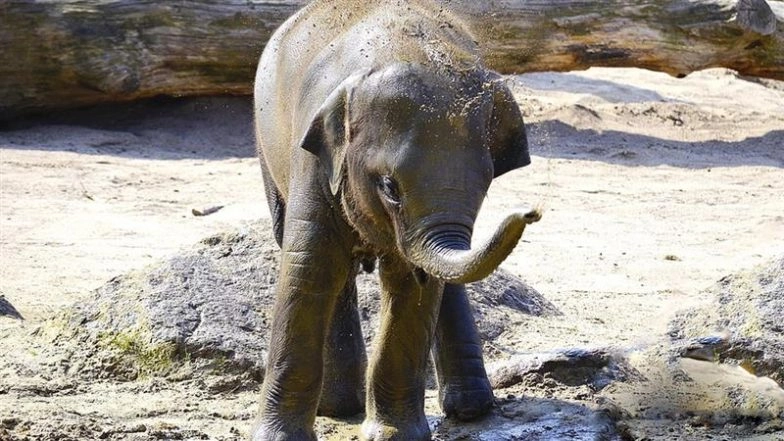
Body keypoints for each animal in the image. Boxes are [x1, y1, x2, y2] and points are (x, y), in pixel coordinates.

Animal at [252, 1, 540, 440]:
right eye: (390, 187)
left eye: (486, 184)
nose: (531, 212)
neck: (401, 46)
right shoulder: (313, 162)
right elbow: (308, 264)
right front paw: (280, 437)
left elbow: (413, 280)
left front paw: (392, 434)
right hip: (267, 149)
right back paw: (339, 406)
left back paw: (469, 409)